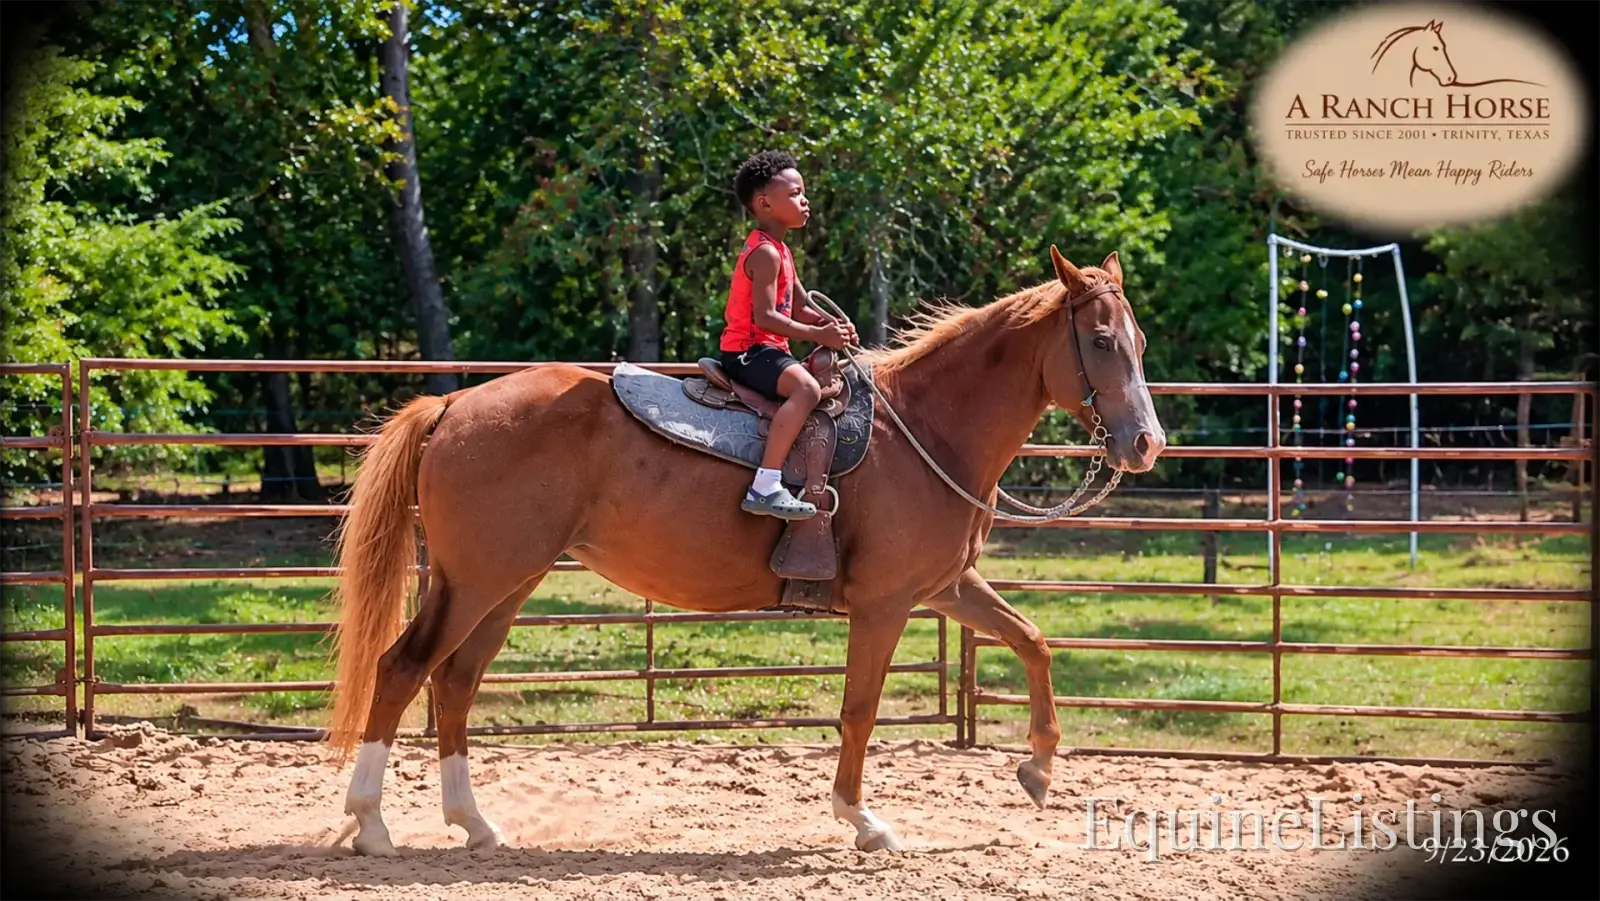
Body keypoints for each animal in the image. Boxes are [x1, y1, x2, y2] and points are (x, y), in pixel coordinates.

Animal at [322, 245, 1166, 856]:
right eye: (1100, 341)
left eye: (1140, 342)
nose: (1146, 443)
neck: (926, 428)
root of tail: (454, 404)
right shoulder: (888, 603)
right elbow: (860, 708)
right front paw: (864, 821)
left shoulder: (947, 586)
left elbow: (1033, 640)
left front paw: (1038, 767)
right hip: (477, 579)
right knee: (403, 669)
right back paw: (372, 824)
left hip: (507, 583)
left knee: (455, 680)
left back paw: (474, 823)